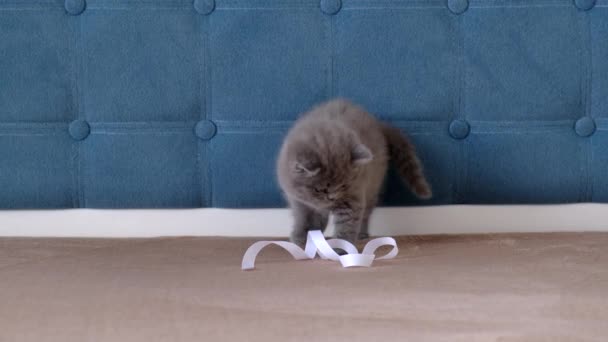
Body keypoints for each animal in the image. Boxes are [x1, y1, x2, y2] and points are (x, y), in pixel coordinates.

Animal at [276, 97, 432, 244]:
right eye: (319, 189)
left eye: (343, 186)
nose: (332, 197)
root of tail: (378, 124)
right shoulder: (298, 200)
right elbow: (305, 218)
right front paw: (303, 238)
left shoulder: (354, 194)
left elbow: (348, 222)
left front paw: (341, 247)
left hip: (372, 187)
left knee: (366, 213)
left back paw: (362, 234)